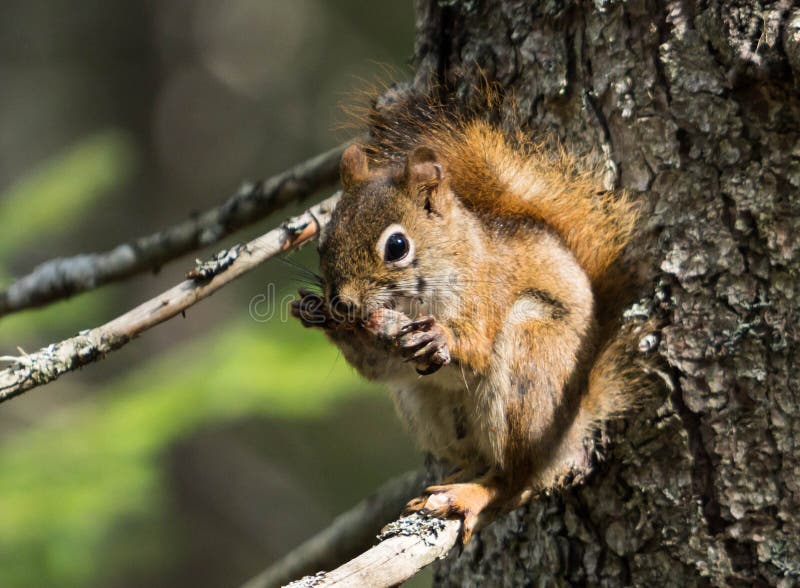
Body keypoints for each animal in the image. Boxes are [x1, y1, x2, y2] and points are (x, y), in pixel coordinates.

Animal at [291, 87, 643, 544]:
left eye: (397, 246)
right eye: (322, 245)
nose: (343, 303)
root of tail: (575, 425)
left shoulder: (487, 296)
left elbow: (475, 346)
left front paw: (440, 338)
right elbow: (375, 366)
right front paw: (316, 313)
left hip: (529, 367)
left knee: (515, 479)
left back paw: (473, 493)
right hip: (426, 407)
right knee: (479, 456)